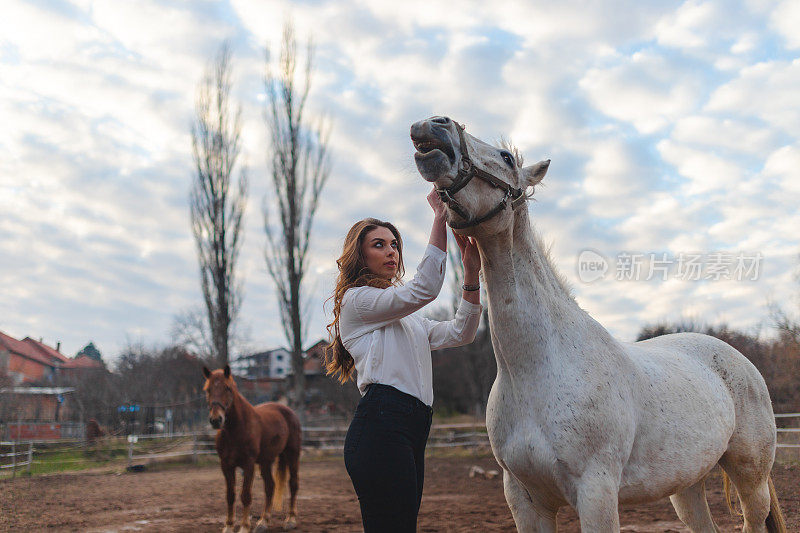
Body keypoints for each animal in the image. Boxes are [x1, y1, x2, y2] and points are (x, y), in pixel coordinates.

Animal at [202, 364, 302, 528]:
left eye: (227, 388)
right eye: (208, 389)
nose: (216, 420)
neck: (235, 430)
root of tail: (288, 411)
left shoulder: (248, 465)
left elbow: (245, 495)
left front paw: (244, 527)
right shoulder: (226, 465)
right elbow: (230, 495)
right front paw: (228, 526)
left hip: (292, 455)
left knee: (293, 484)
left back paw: (291, 519)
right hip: (266, 461)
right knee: (270, 486)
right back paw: (263, 521)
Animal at [410, 114, 784, 528]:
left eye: (506, 157)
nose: (433, 126)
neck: (537, 370)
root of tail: (741, 361)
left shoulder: (596, 494)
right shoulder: (524, 500)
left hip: (751, 478)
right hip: (687, 486)